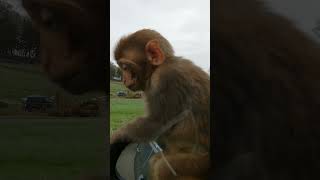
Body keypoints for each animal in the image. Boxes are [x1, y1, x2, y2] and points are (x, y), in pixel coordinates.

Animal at [111, 28, 211, 179]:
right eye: (122, 68)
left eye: (126, 67)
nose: (123, 79)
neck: (158, 68)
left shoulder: (166, 79)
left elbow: (156, 124)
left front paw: (114, 137)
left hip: (201, 165)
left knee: (162, 167)